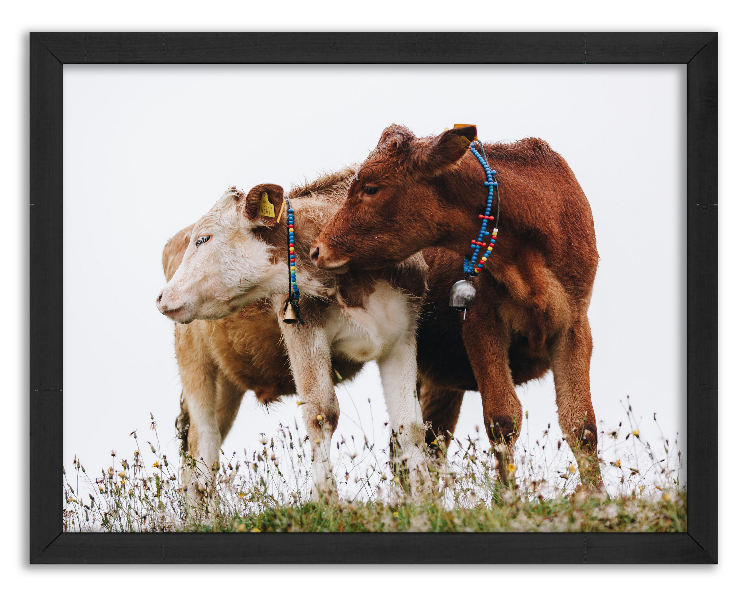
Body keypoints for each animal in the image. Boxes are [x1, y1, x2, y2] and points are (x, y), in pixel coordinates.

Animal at [311, 125, 602, 487]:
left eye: (371, 187)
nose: (317, 249)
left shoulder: (574, 324)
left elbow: (581, 426)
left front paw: (597, 496)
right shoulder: (480, 323)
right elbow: (503, 418)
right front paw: (508, 497)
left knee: (430, 441)